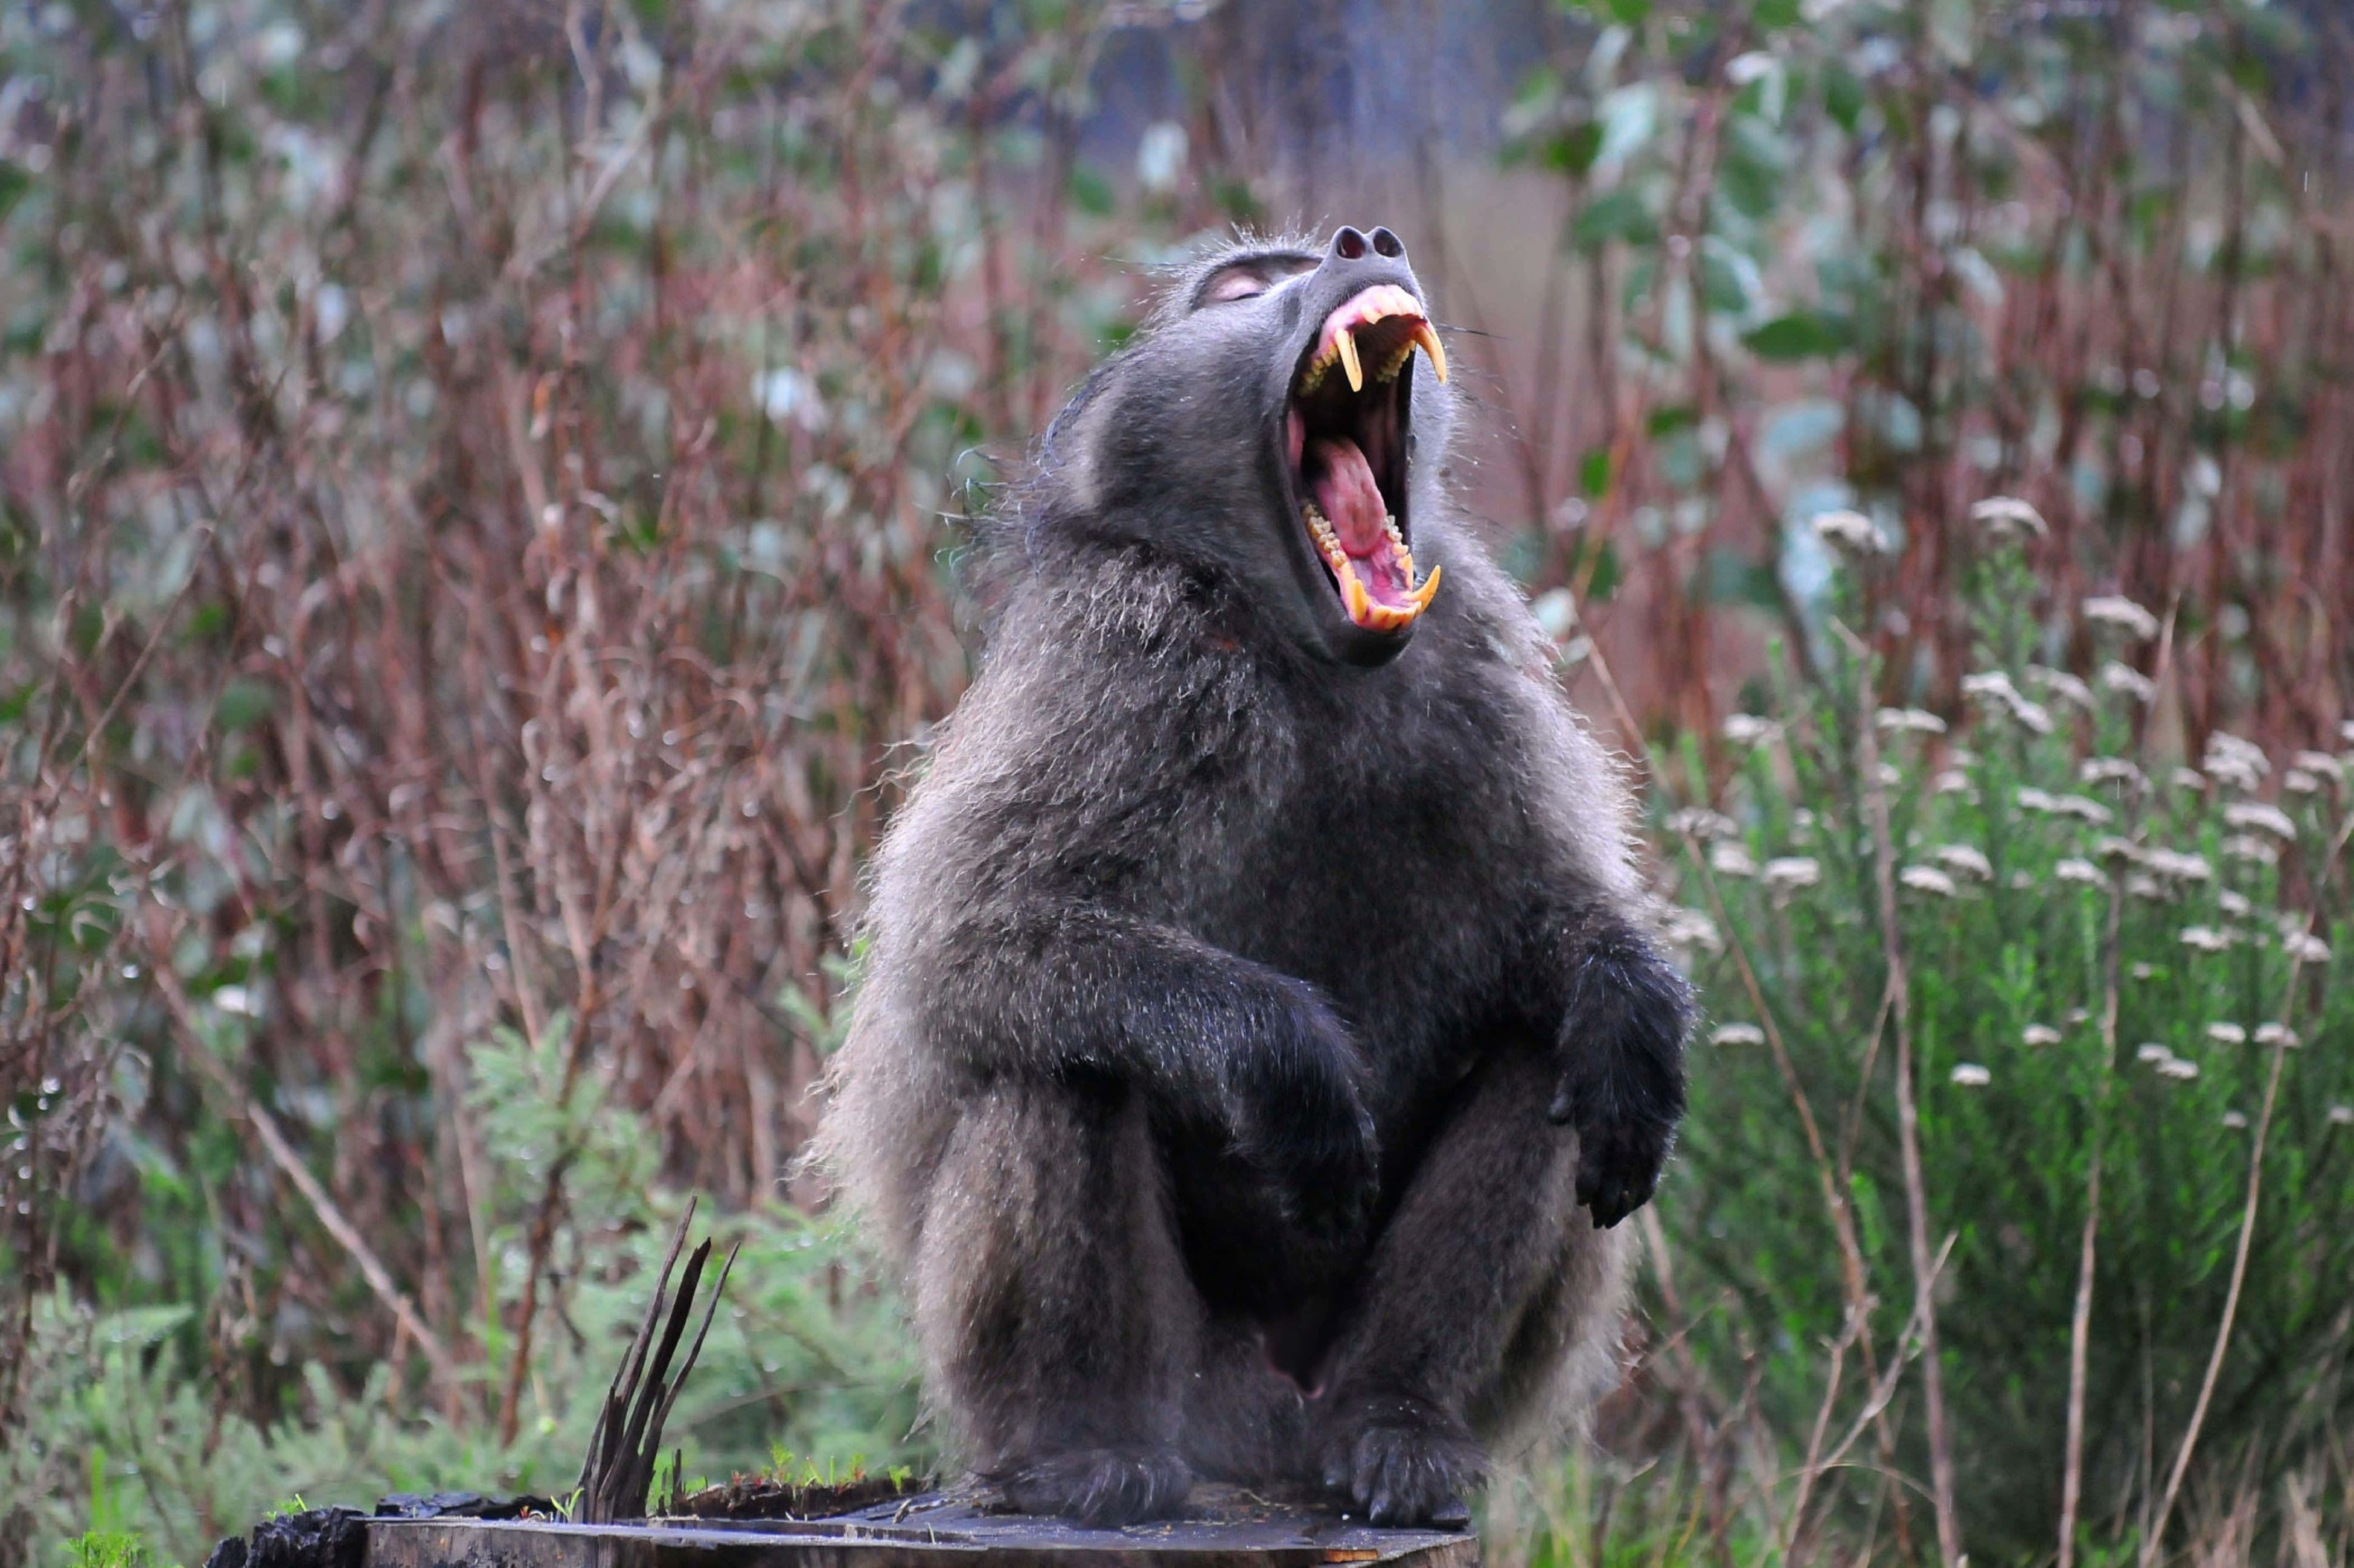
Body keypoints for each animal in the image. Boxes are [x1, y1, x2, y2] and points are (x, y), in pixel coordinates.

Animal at [817, 224, 1692, 1532]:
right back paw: (1081, 1453)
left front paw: (1633, 998)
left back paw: (1397, 1427)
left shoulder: (1469, 651)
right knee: (1063, 1060)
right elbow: (960, 947)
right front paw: (1288, 1061)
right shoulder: (1122, 654)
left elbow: (1554, 927)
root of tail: (1261, 1436)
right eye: (1241, 290)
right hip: (1139, 1376)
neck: (1302, 650)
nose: (1365, 239)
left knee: (1552, 1056)